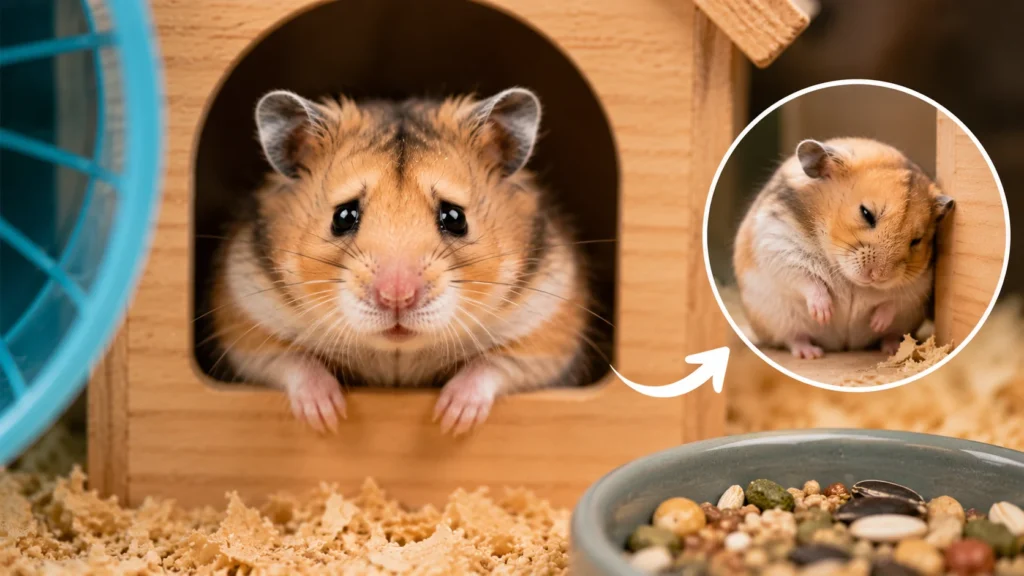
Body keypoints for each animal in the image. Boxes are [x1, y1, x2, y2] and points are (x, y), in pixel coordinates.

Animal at [208, 87, 590, 435]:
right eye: (343, 216)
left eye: (455, 217)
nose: (396, 298)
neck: (398, 354)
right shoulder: (246, 316)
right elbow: (291, 359)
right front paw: (327, 416)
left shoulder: (548, 326)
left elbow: (495, 364)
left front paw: (450, 419)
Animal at [733, 137, 955, 359]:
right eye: (866, 213)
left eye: (917, 240)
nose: (878, 276)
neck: (851, 280)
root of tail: (843, 345)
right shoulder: (779, 246)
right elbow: (807, 280)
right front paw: (824, 314)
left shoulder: (921, 282)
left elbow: (894, 299)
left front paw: (877, 323)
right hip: (778, 321)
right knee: (793, 338)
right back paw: (811, 353)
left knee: (891, 333)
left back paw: (892, 348)